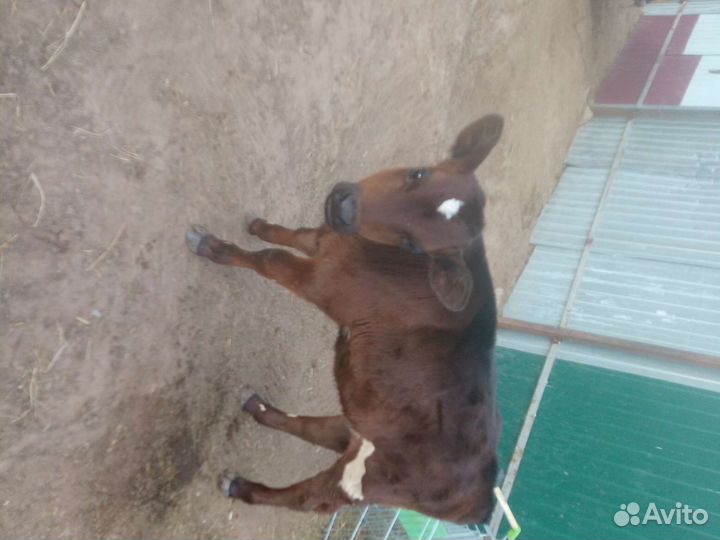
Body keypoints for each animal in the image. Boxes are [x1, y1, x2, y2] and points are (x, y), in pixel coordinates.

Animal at [185, 114, 504, 524]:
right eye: (418, 173)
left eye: (412, 244)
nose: (345, 207)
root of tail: (482, 497)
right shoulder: (327, 241)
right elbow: (294, 234)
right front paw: (258, 226)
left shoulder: (323, 282)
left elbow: (270, 258)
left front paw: (211, 246)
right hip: (359, 428)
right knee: (311, 427)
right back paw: (257, 407)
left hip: (368, 479)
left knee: (306, 498)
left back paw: (241, 487)